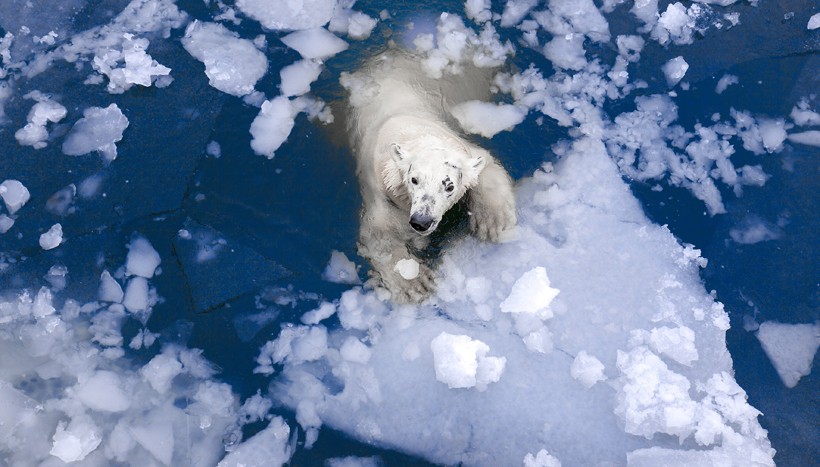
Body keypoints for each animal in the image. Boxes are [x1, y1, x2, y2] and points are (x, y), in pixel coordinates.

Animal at [342, 50, 516, 304]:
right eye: (414, 180)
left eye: (449, 186)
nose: (421, 222)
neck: (408, 130)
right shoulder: (380, 191)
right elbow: (379, 235)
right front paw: (415, 282)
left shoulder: (461, 146)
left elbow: (485, 166)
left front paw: (493, 222)